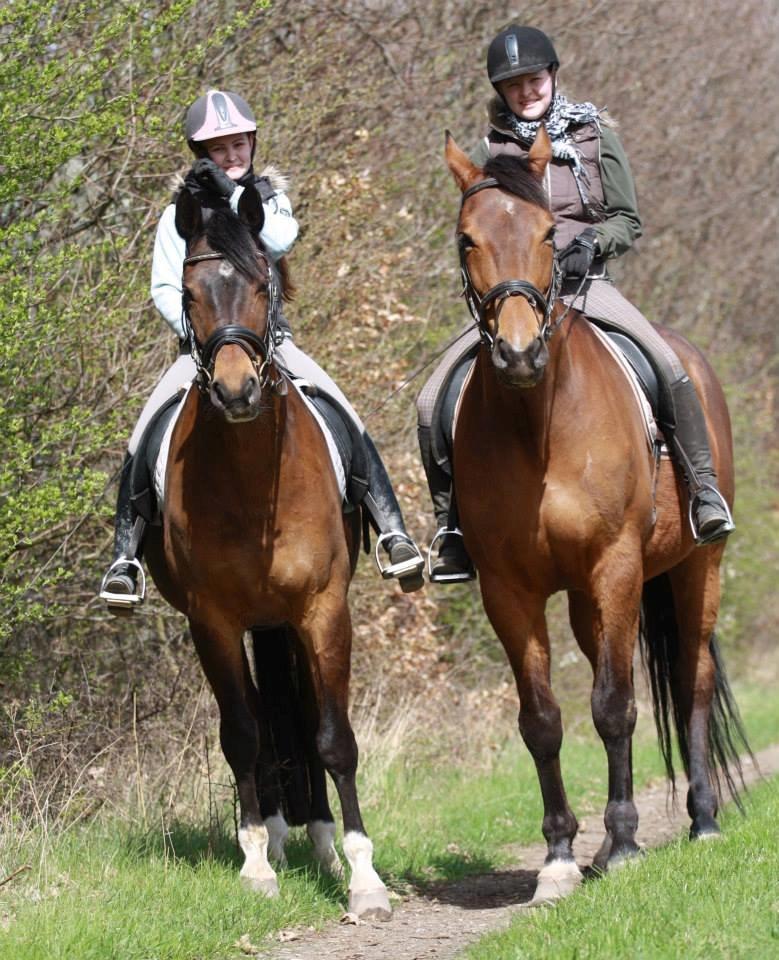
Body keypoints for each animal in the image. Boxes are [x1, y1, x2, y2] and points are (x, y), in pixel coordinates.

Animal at [144, 184, 394, 920]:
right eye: (190, 292)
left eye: (262, 283)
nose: (236, 392)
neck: (253, 479)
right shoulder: (214, 622)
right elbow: (244, 735)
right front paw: (255, 862)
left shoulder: (322, 610)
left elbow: (332, 735)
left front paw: (364, 877)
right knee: (268, 718)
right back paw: (283, 839)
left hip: (287, 620)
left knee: (301, 716)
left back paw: (322, 842)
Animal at [448, 129, 752, 908]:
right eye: (467, 239)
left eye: (548, 234)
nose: (518, 352)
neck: (538, 424)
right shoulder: (510, 590)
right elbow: (544, 720)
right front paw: (559, 855)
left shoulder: (616, 564)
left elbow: (614, 706)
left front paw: (623, 847)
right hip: (589, 602)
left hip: (695, 569)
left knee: (690, 681)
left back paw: (703, 822)